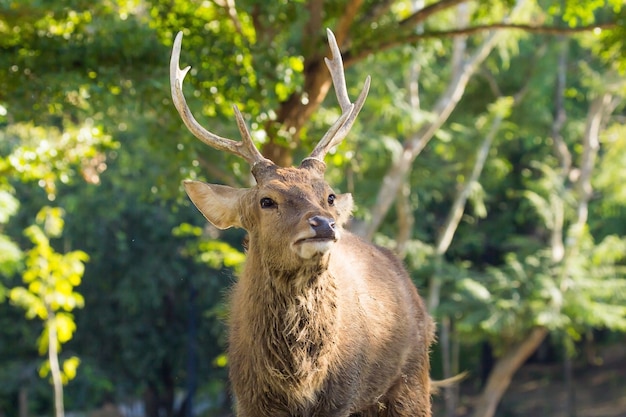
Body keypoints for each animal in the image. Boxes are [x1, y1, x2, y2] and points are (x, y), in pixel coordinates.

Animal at [169, 27, 434, 414]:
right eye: (266, 200)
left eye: (329, 195)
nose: (324, 224)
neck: (297, 380)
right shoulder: (248, 398)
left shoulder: (341, 395)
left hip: (413, 378)